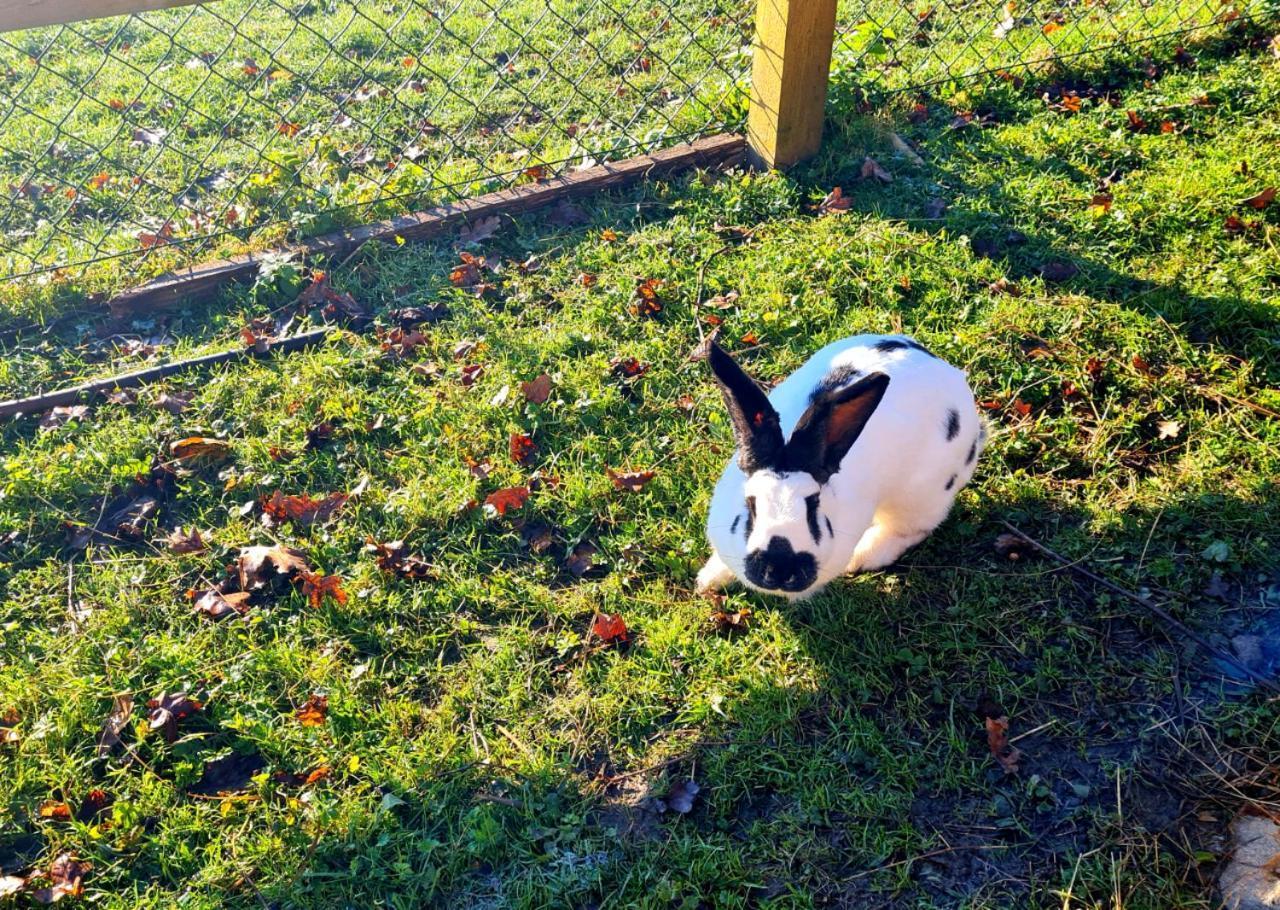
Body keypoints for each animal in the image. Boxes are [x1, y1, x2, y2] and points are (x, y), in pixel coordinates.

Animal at [696, 332, 983, 598]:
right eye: (750, 504)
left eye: (813, 504)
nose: (780, 568)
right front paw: (707, 580)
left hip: (920, 496)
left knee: (913, 528)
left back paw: (863, 556)